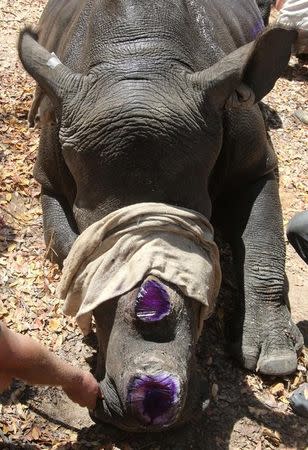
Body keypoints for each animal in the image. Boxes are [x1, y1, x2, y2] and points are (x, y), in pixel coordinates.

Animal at [18, 0, 304, 430]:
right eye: (94, 240)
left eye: (202, 232)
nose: (151, 408)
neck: (142, 61)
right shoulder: (49, 172)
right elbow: (65, 249)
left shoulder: (253, 164)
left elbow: (263, 243)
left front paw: (276, 360)